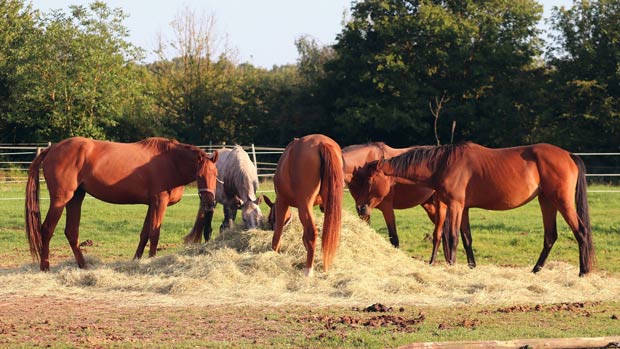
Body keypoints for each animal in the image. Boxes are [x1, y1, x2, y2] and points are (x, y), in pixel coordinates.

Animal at [26, 137, 220, 270]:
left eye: (216, 174)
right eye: (200, 176)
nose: (210, 203)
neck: (170, 161)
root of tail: (52, 148)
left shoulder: (151, 204)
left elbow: (145, 234)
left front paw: (137, 260)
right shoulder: (159, 202)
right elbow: (154, 234)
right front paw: (151, 261)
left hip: (76, 198)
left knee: (71, 232)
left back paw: (84, 266)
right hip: (61, 199)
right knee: (47, 229)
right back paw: (45, 267)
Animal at [262, 133, 344, 274]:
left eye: (270, 219)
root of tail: (322, 143)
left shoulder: (282, 202)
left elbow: (278, 233)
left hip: (303, 205)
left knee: (312, 233)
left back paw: (308, 270)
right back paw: (325, 267)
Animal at [376, 141, 592, 274]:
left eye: (371, 177)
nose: (367, 206)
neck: (444, 163)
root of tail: (569, 155)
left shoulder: (455, 205)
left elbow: (453, 237)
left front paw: (452, 266)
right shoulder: (463, 209)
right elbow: (466, 239)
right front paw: (471, 267)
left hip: (562, 201)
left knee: (580, 231)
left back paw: (583, 271)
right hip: (546, 201)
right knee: (550, 236)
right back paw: (536, 270)